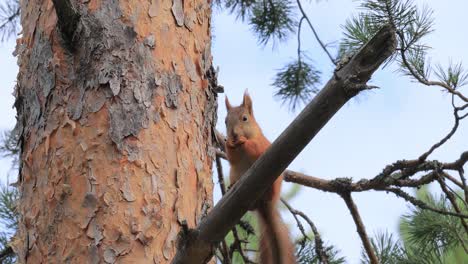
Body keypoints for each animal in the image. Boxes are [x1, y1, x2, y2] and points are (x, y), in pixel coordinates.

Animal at [224, 91, 296, 264]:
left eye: (245, 118)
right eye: (225, 121)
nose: (233, 135)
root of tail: (265, 205)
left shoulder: (262, 146)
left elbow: (255, 148)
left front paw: (243, 141)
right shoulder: (234, 159)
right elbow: (232, 157)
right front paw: (228, 144)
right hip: (234, 173)